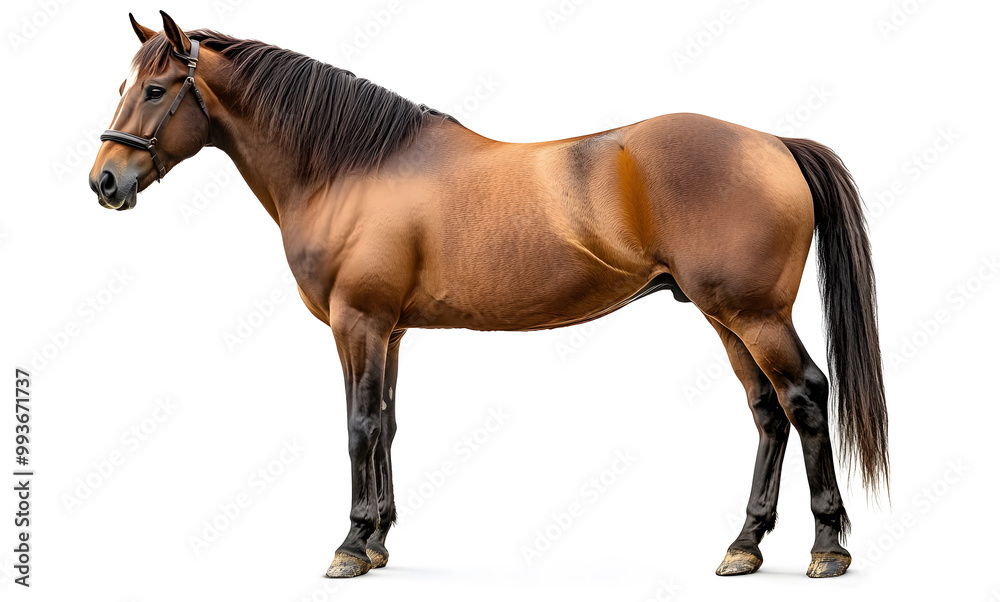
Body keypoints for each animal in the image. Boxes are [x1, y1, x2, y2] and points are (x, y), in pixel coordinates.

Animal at [89, 12, 888, 579]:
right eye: (124, 87)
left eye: (156, 90)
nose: (104, 181)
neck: (351, 168)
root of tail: (773, 143)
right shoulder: (390, 331)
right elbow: (388, 424)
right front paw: (378, 541)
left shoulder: (357, 323)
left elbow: (358, 426)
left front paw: (349, 545)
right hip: (728, 320)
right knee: (767, 413)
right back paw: (744, 546)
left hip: (756, 316)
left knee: (806, 395)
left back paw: (827, 549)